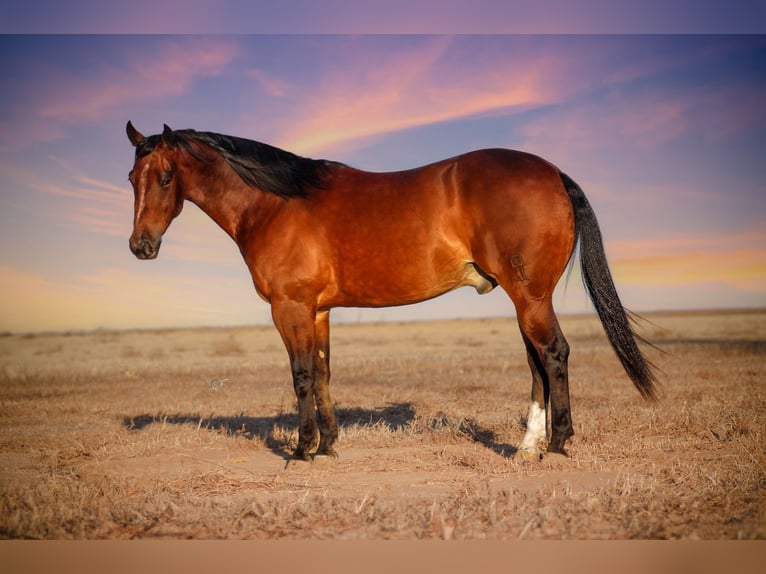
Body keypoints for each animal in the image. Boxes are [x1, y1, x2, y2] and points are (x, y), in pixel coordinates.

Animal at [126, 122, 658, 462]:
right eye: (132, 178)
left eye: (166, 177)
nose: (140, 247)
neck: (275, 204)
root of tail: (552, 173)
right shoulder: (318, 311)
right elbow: (323, 374)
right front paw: (329, 445)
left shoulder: (290, 308)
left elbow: (301, 375)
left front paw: (301, 450)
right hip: (528, 299)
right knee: (536, 364)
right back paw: (528, 447)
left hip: (530, 298)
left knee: (553, 354)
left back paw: (558, 443)